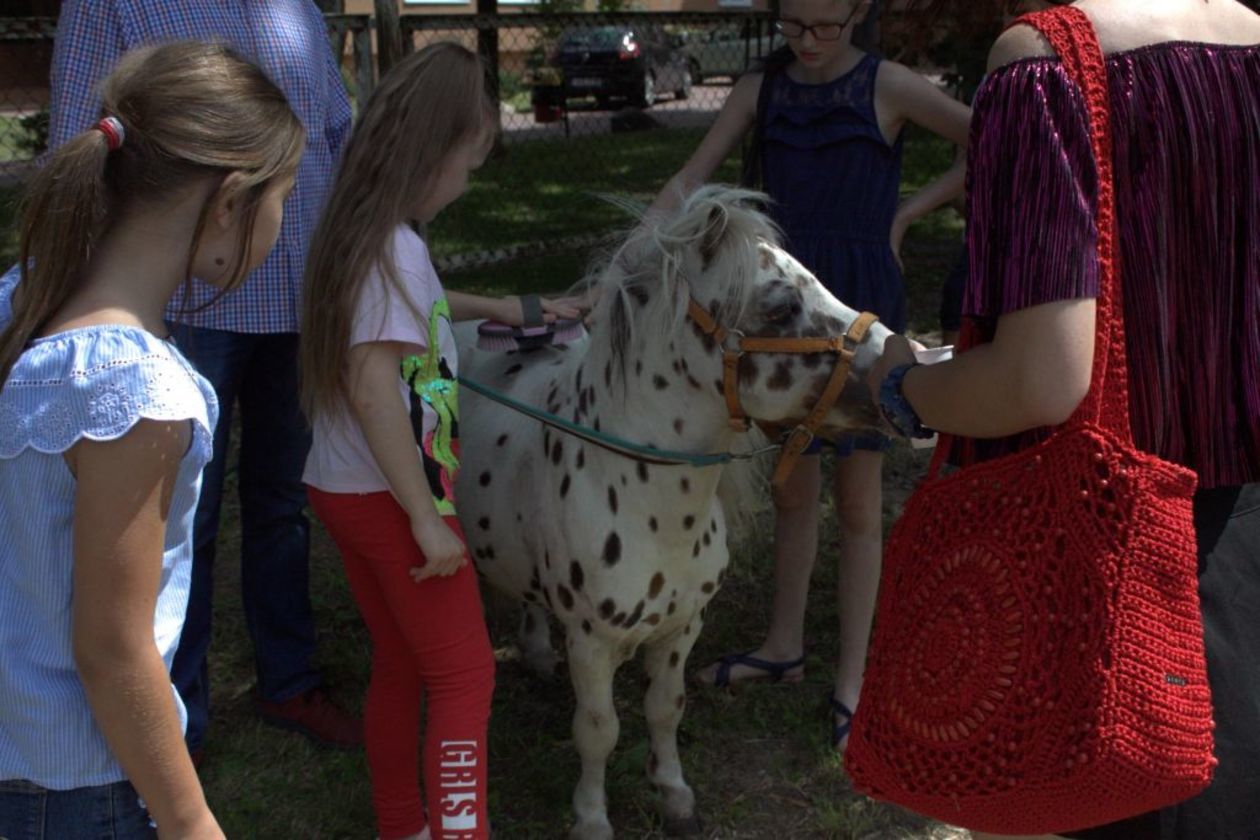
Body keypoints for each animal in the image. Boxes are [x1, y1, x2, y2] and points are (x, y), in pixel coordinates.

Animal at [458, 187, 892, 836]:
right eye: (783, 305)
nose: (903, 358)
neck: (646, 503)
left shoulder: (684, 625)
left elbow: (665, 709)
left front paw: (674, 794)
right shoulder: (592, 643)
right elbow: (598, 732)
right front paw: (592, 818)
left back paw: (534, 653)